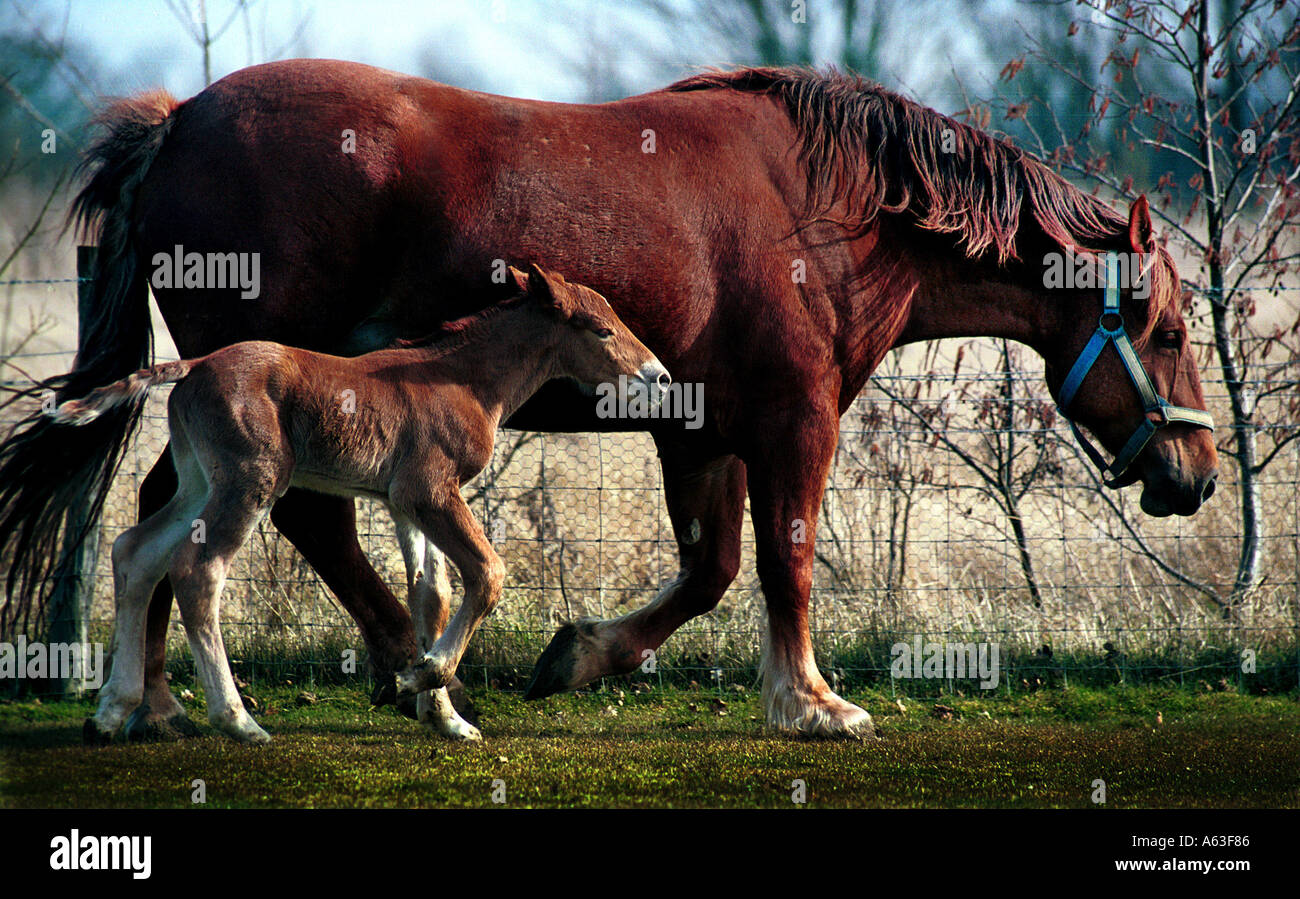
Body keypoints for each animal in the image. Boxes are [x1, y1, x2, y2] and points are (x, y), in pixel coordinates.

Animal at [58, 266, 670, 743]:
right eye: (602, 330)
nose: (660, 377)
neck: (466, 382)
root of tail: (194, 366)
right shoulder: (429, 491)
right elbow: (488, 573)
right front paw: (416, 679)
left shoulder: (403, 503)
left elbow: (432, 595)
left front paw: (445, 719)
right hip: (250, 479)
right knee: (196, 571)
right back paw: (238, 722)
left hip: (198, 482)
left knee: (136, 552)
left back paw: (109, 714)